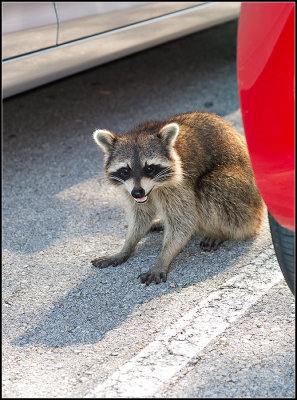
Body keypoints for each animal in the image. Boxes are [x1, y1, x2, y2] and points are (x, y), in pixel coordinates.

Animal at [91, 111, 264, 286]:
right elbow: (140, 217)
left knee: (210, 186)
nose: (138, 193)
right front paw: (127, 247)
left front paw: (163, 258)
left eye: (150, 168)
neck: (154, 188)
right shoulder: (130, 189)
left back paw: (221, 232)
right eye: (125, 170)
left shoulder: (179, 184)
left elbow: (182, 223)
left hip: (243, 200)